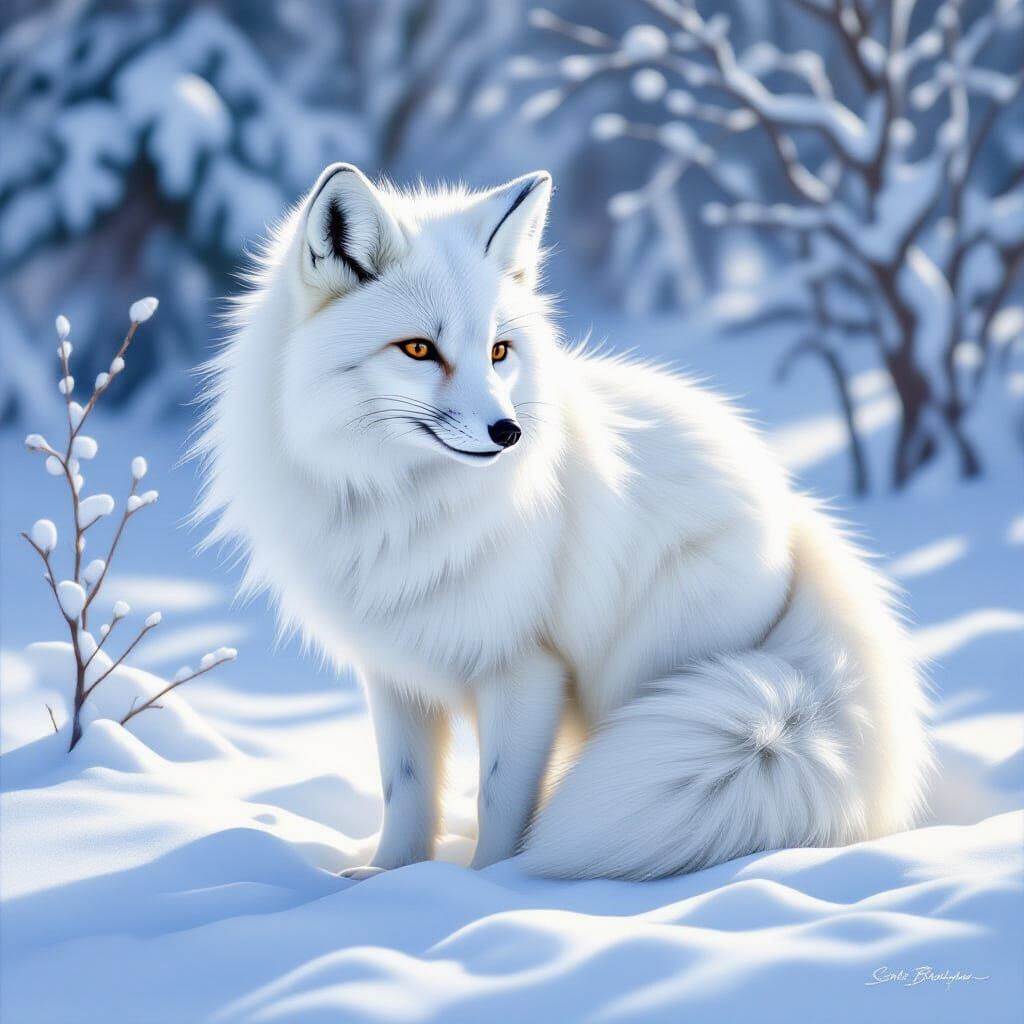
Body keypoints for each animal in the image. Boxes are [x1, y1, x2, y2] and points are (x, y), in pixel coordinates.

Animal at [198, 163, 932, 880]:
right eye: (418, 350)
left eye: (499, 351)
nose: (509, 432)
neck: (399, 504)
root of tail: (790, 507)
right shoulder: (396, 670)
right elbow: (404, 790)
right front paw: (389, 878)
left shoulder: (525, 667)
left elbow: (501, 798)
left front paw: (486, 886)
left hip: (639, 677)